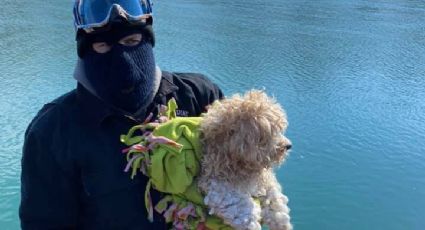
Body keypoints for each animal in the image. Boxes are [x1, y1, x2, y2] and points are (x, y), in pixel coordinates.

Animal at [198, 90, 292, 230]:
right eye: (270, 134)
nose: (288, 146)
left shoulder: (264, 178)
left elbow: (274, 198)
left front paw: (282, 222)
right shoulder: (215, 181)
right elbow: (240, 207)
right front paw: (252, 223)